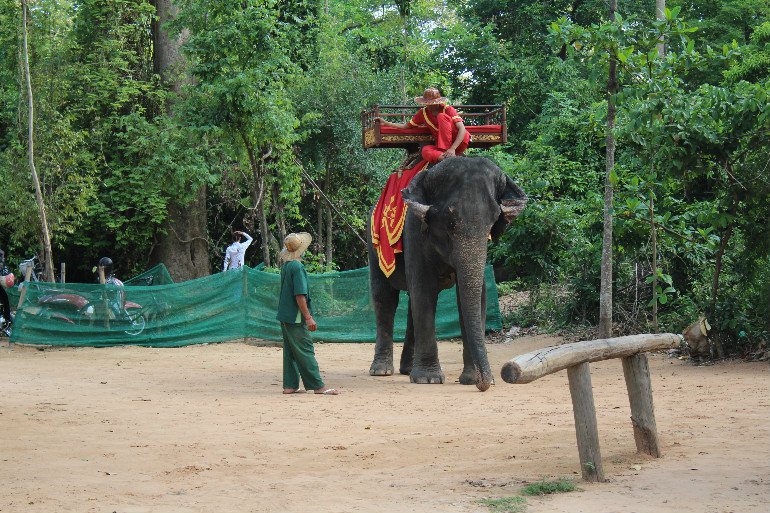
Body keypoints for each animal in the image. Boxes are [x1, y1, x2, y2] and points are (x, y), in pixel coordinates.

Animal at [364, 154, 520, 390]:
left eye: (493, 221)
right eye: (450, 221)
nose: (485, 383)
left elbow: (477, 295)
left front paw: (471, 380)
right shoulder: (414, 229)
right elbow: (424, 288)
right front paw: (428, 379)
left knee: (411, 301)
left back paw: (407, 369)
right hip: (373, 245)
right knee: (385, 298)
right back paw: (381, 371)